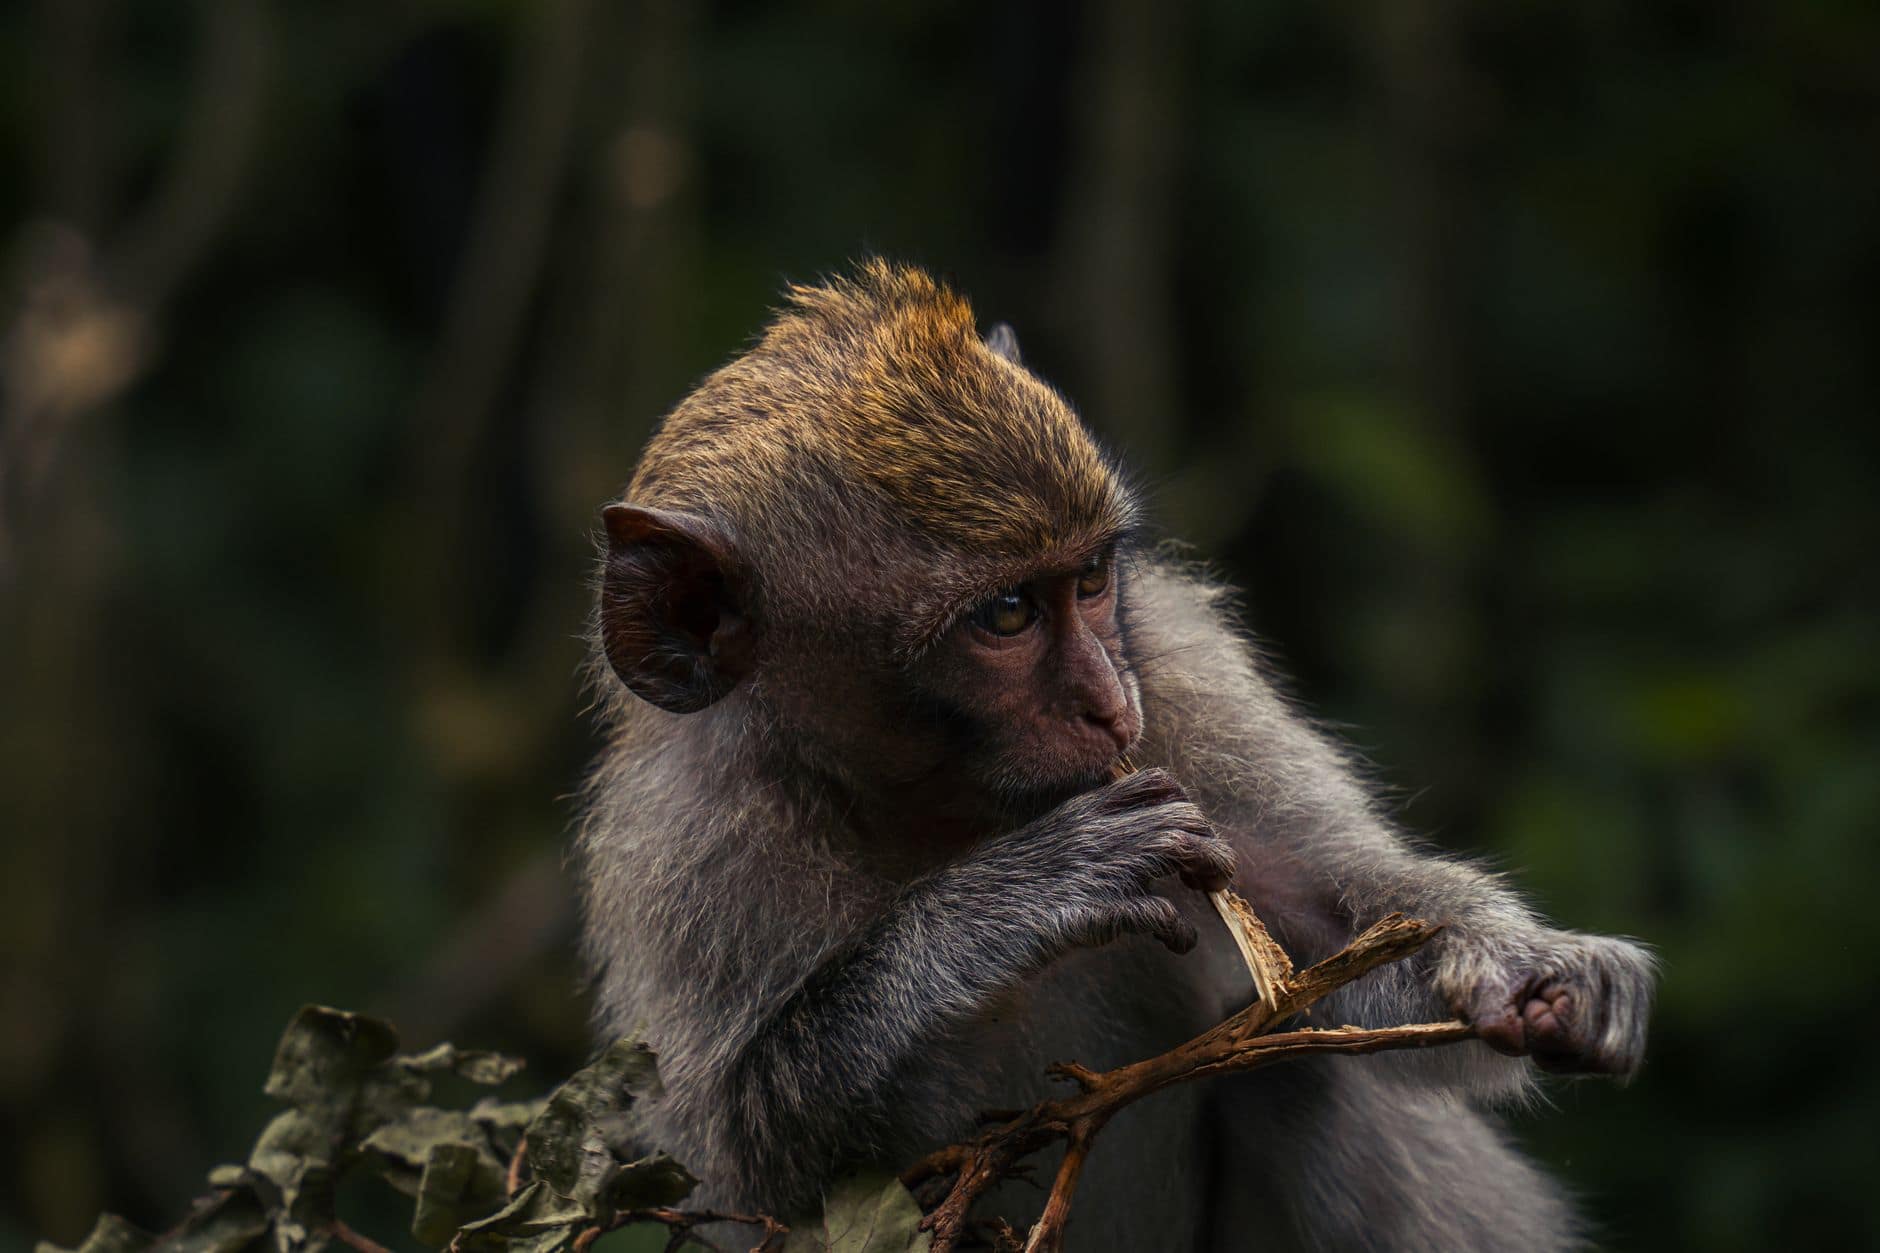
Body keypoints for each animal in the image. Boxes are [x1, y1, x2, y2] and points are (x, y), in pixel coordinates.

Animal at [574, 260, 1656, 1252]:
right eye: (1007, 614)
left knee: (1292, 1070)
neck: (931, 799)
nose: (1107, 703)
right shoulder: (689, 843)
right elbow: (743, 1165)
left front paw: (1528, 974)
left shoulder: (1180, 680)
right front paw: (1006, 901)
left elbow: (1335, 929)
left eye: (1091, 579)